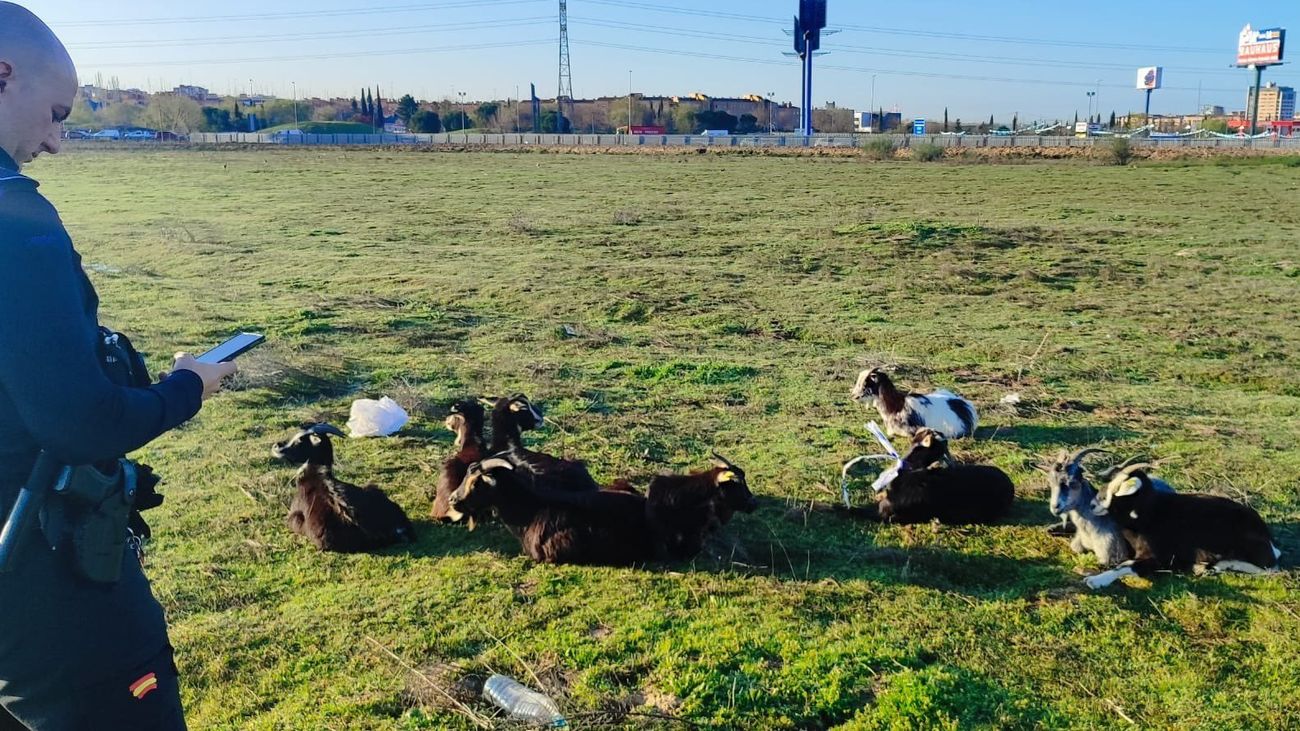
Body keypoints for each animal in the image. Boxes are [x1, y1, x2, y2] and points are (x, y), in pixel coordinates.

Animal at [1082, 464, 1281, 589]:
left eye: (1118, 489)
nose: (1092, 504)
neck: (1149, 512)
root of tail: (1268, 538)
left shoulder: (1160, 558)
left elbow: (1126, 566)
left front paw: (1095, 580)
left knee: (1270, 569)